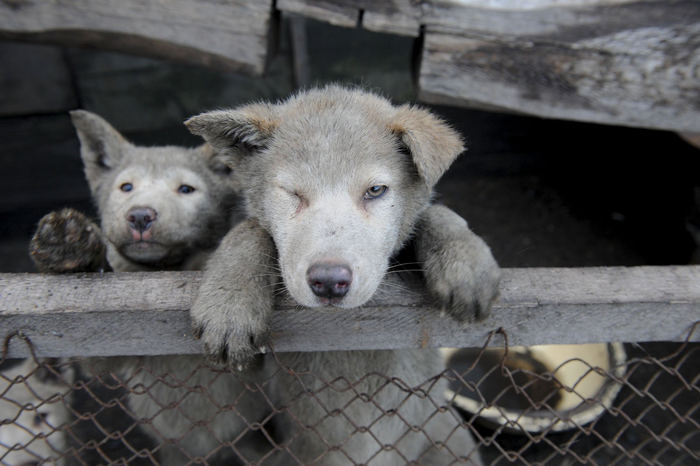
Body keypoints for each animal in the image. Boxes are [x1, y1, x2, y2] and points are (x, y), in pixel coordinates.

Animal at [189, 87, 500, 466]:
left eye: (376, 191)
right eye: (292, 193)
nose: (328, 281)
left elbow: (432, 214)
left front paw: (465, 262)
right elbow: (251, 228)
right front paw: (230, 303)